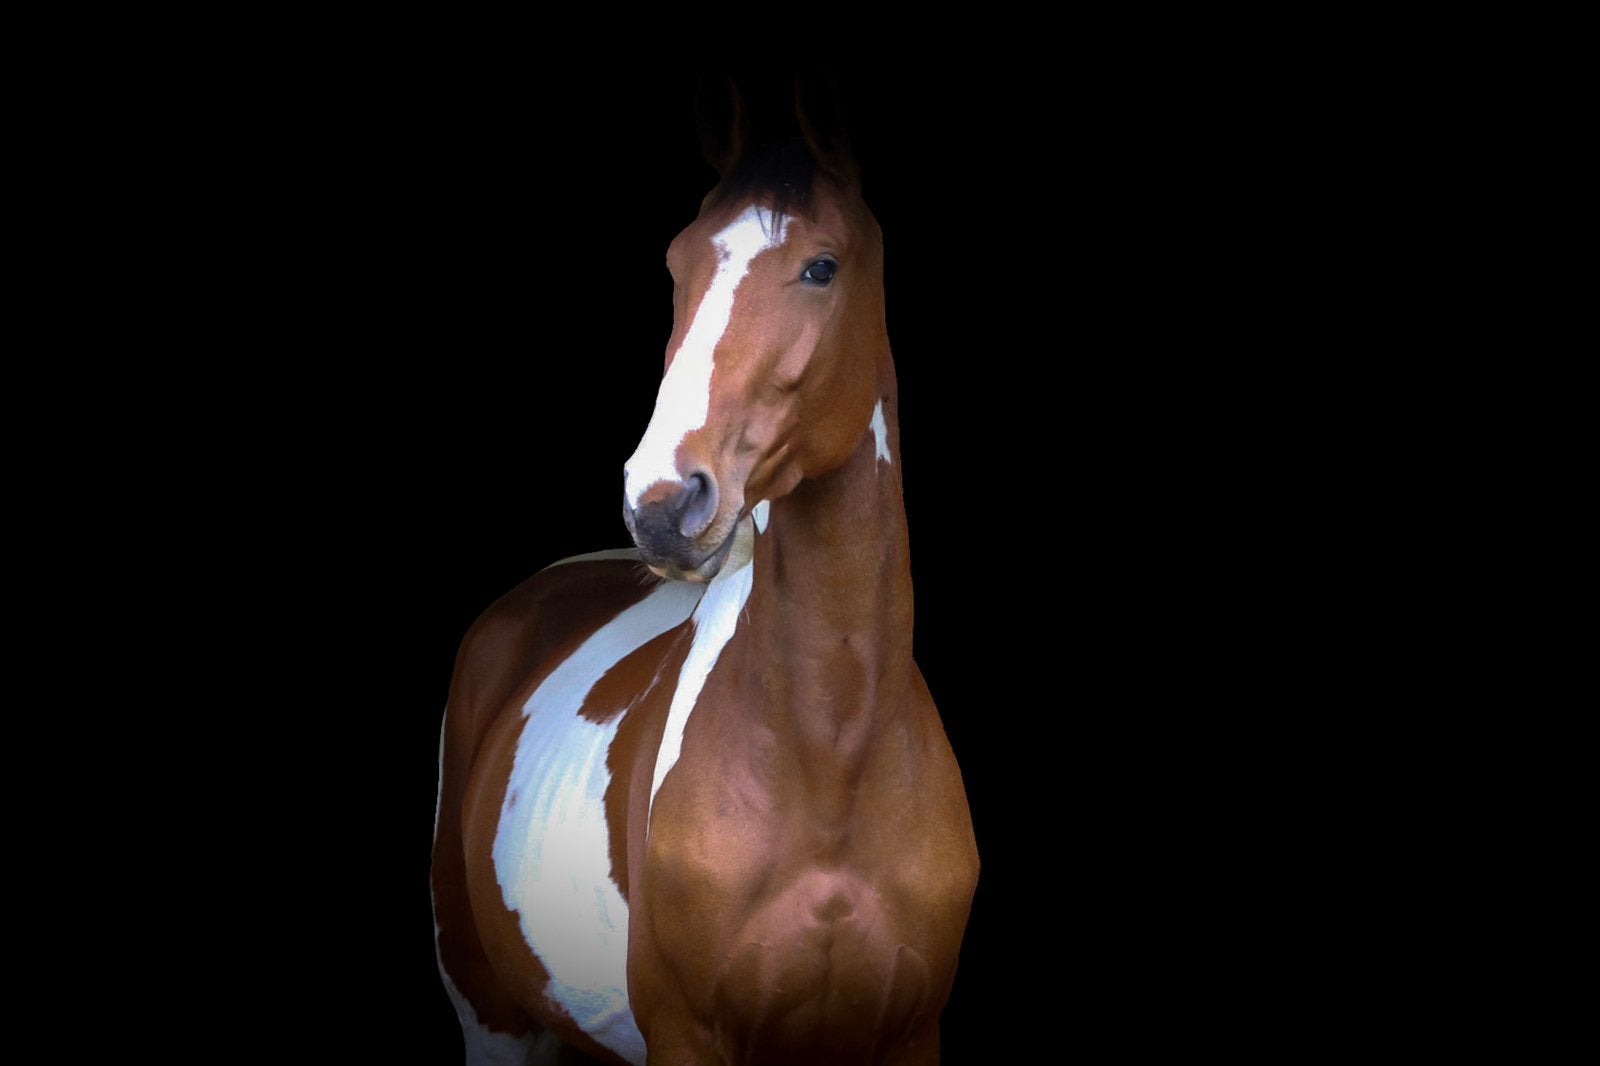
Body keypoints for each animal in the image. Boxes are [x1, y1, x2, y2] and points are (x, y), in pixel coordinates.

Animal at [432, 99, 978, 1066]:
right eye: (677, 263)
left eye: (822, 266)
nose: (659, 502)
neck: (832, 763)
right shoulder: (689, 1038)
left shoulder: (912, 1035)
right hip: (490, 1014)